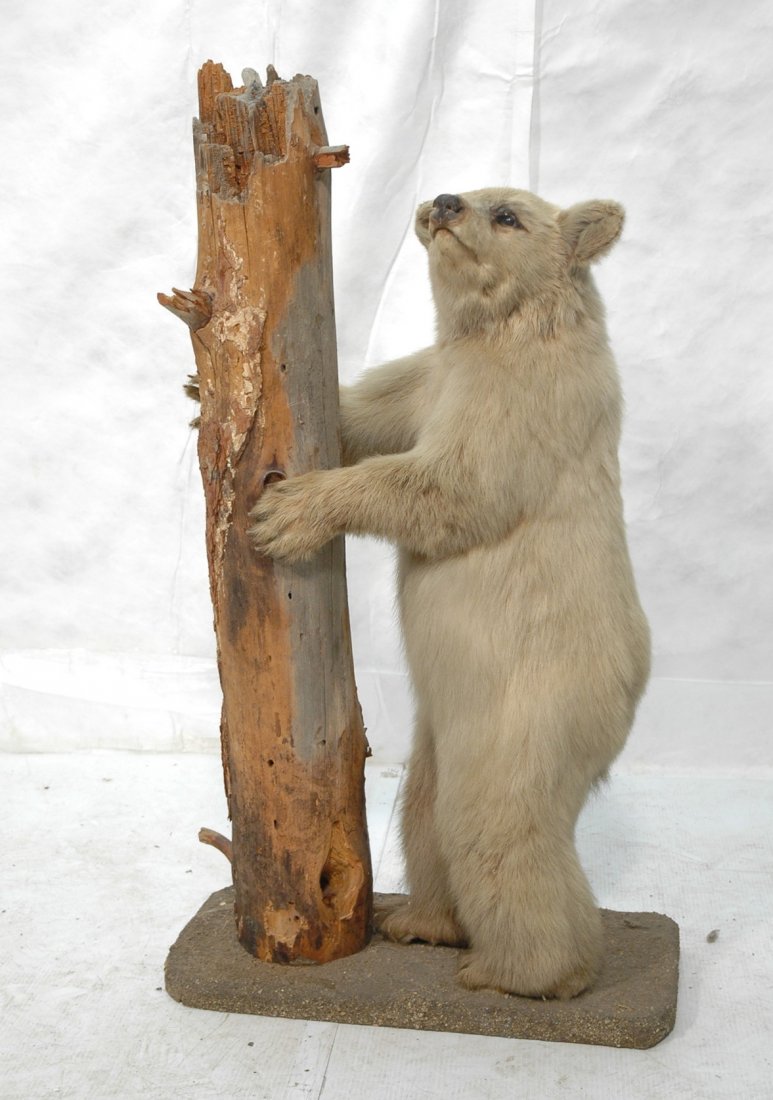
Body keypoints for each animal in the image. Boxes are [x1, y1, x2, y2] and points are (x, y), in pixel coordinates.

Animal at [248, 187, 651, 999]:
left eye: (508, 215)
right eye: (466, 188)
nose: (443, 201)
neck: (509, 329)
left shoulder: (528, 397)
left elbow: (450, 487)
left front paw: (288, 512)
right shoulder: (433, 374)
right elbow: (370, 418)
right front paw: (191, 388)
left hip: (535, 706)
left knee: (494, 822)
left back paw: (517, 973)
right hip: (448, 727)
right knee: (425, 807)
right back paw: (420, 923)